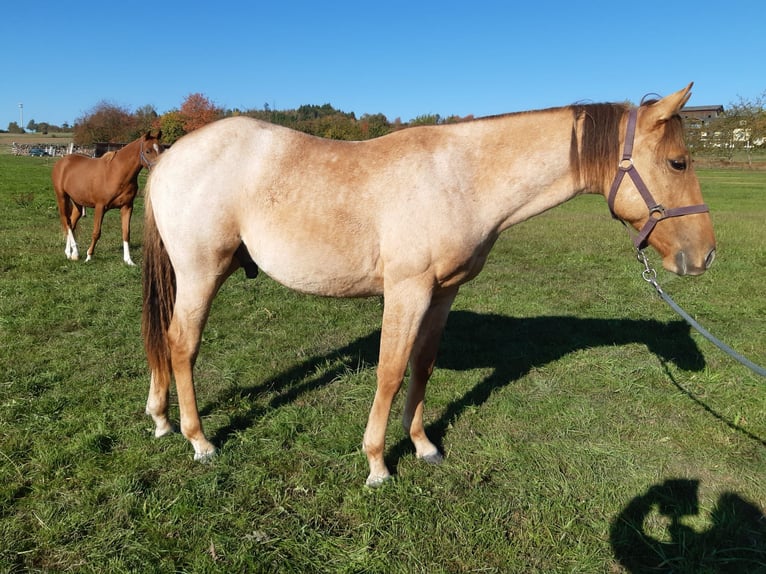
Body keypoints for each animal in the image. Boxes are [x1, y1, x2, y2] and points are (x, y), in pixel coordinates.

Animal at [51, 131, 163, 265]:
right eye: (147, 151)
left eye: (161, 149)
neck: (116, 173)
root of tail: (62, 161)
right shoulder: (100, 207)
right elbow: (96, 232)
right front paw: (89, 256)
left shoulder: (127, 207)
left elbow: (126, 233)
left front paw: (128, 260)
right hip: (62, 197)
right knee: (67, 222)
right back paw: (75, 253)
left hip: (78, 202)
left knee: (72, 224)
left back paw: (71, 253)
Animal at [142, 84, 715, 486]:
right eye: (677, 162)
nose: (705, 255)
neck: (460, 177)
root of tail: (169, 156)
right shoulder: (407, 291)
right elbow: (390, 372)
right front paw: (377, 464)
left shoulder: (443, 293)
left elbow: (423, 365)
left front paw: (422, 446)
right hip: (202, 272)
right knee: (181, 344)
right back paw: (199, 440)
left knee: (165, 346)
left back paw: (161, 419)